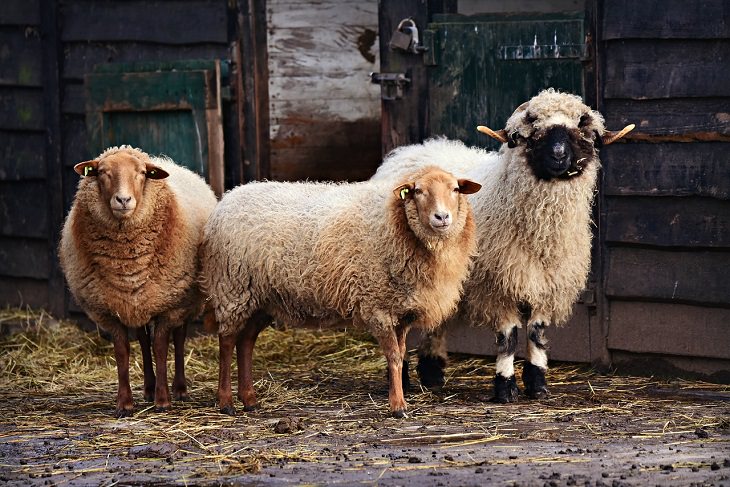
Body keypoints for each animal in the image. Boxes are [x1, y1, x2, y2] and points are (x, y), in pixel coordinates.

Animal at [58, 147, 216, 418]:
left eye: (142, 173)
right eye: (102, 172)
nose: (123, 200)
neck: (126, 265)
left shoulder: (169, 305)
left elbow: (161, 348)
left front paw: (163, 401)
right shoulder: (109, 310)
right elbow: (123, 352)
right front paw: (125, 404)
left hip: (184, 299)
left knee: (179, 338)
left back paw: (179, 389)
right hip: (138, 302)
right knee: (142, 340)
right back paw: (149, 388)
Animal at [202, 168, 480, 420]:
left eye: (456, 189)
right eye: (419, 191)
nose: (442, 217)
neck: (394, 222)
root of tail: (228, 197)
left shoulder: (401, 311)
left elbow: (400, 355)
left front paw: (399, 397)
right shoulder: (377, 305)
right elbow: (392, 357)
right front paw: (398, 407)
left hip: (262, 298)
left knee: (246, 342)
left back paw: (250, 400)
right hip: (233, 288)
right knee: (227, 342)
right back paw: (226, 402)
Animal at [370, 87, 632, 404]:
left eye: (581, 132)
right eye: (533, 133)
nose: (558, 156)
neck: (542, 237)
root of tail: (408, 150)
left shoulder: (545, 284)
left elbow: (536, 334)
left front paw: (537, 384)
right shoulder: (499, 284)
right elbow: (509, 338)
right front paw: (505, 387)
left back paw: (432, 374)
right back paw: (403, 378)